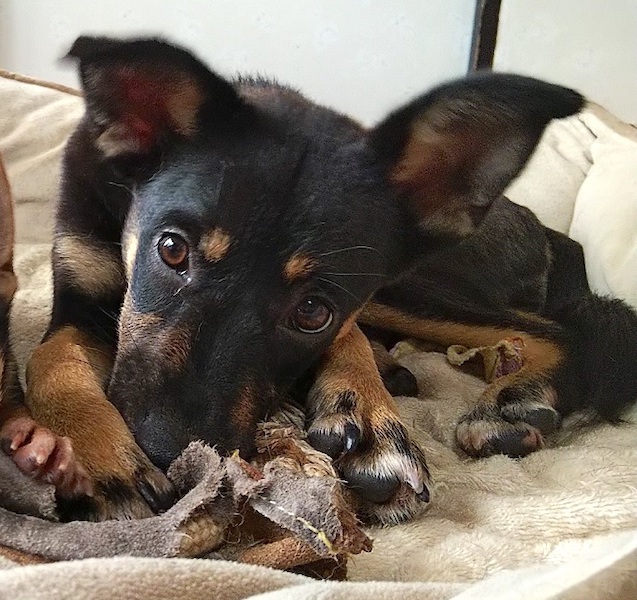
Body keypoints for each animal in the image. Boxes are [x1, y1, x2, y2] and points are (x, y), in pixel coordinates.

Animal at [2, 36, 636, 525]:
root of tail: (549, 232)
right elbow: (50, 358)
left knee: (560, 327)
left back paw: (510, 400)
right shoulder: (78, 298)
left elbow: (346, 335)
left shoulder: (348, 302)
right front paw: (99, 455)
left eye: (312, 311)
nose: (166, 455)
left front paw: (366, 417)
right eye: (172, 249)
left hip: (408, 285)